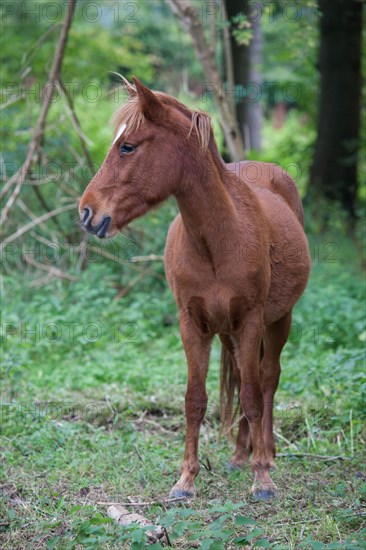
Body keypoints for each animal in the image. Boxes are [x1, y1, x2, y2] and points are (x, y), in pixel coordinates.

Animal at [78, 75, 310, 502]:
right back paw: (239, 455)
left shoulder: (251, 321)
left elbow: (252, 396)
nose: (87, 212)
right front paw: (186, 480)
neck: (217, 241)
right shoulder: (192, 324)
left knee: (267, 378)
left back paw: (266, 455)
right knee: (244, 377)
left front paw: (262, 479)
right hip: (229, 333)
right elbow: (195, 400)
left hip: (277, 320)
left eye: (127, 145)